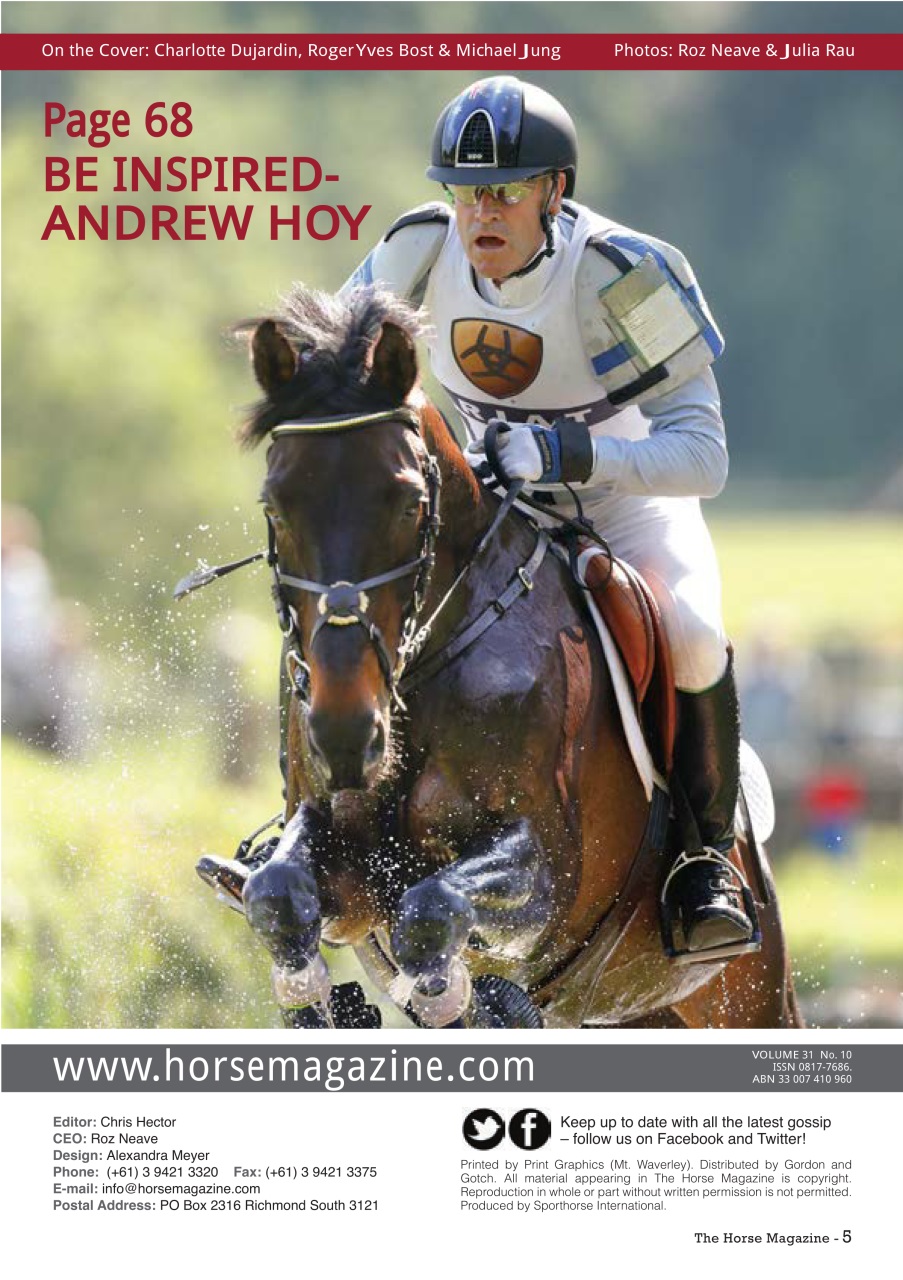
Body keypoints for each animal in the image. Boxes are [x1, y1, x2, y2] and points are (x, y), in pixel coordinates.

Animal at [199, 284, 801, 1030]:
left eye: (409, 503)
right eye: (276, 506)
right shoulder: (335, 851)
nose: (344, 734)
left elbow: (433, 912)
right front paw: (324, 1001)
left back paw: (707, 893)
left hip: (748, 995)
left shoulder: (546, 874)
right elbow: (278, 895)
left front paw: (459, 995)